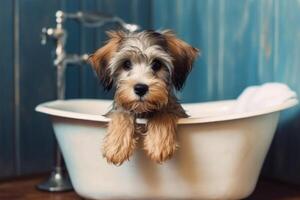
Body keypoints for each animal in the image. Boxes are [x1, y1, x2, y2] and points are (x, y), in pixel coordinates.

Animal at [88, 29, 198, 166]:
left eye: (157, 64)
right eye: (126, 64)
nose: (140, 88)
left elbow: (165, 111)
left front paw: (159, 143)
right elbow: (121, 112)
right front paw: (116, 145)